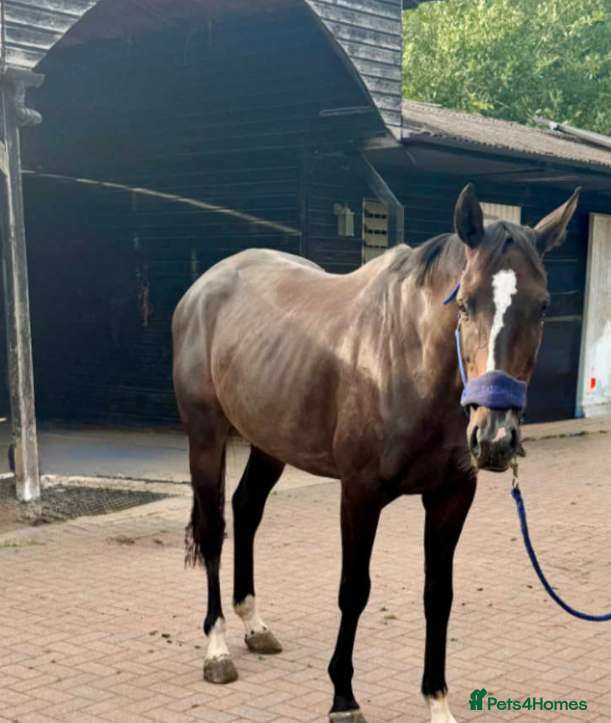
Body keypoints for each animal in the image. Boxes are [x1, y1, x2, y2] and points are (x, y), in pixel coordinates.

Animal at [172, 183, 579, 723]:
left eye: (543, 306)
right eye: (465, 304)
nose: (494, 439)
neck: (407, 360)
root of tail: (202, 289)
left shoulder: (452, 497)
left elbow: (438, 594)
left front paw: (437, 701)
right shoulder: (360, 494)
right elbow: (354, 590)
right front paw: (343, 697)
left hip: (271, 439)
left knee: (247, 509)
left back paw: (254, 624)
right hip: (206, 434)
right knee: (213, 527)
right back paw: (216, 648)